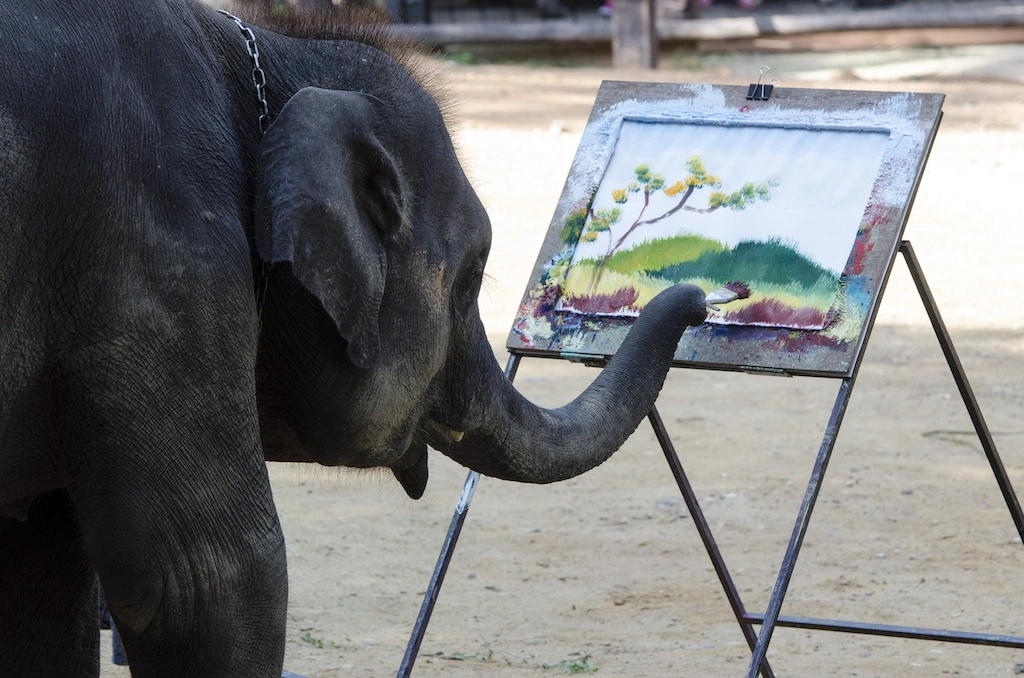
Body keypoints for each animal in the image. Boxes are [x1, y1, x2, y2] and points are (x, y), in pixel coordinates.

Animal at [0, 1, 708, 676]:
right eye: (474, 277)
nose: (700, 302)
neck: (253, 57)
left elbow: (43, 574)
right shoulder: (157, 269)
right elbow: (206, 583)